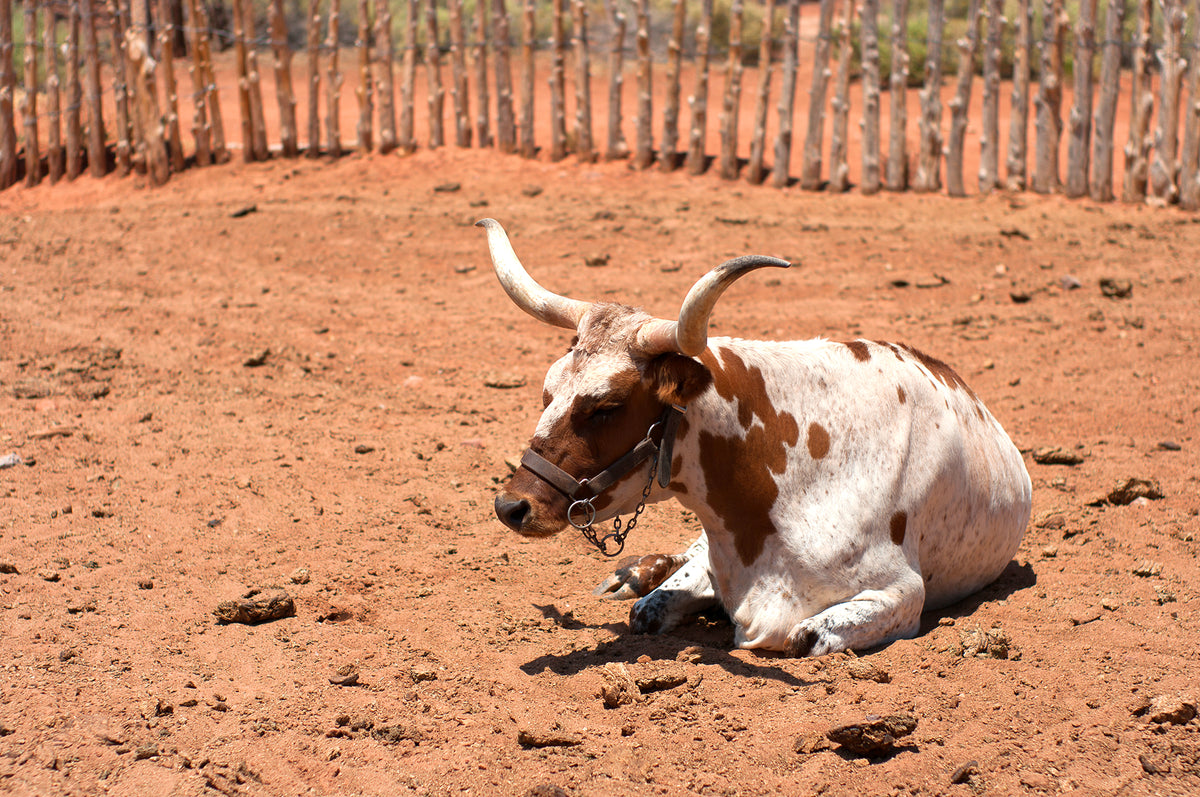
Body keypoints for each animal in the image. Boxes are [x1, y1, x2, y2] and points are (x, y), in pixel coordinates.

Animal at [478, 219, 1032, 657]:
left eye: (607, 407)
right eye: (548, 390)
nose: (512, 506)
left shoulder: (900, 593)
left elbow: (804, 636)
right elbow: (652, 606)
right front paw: (645, 580)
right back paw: (632, 572)